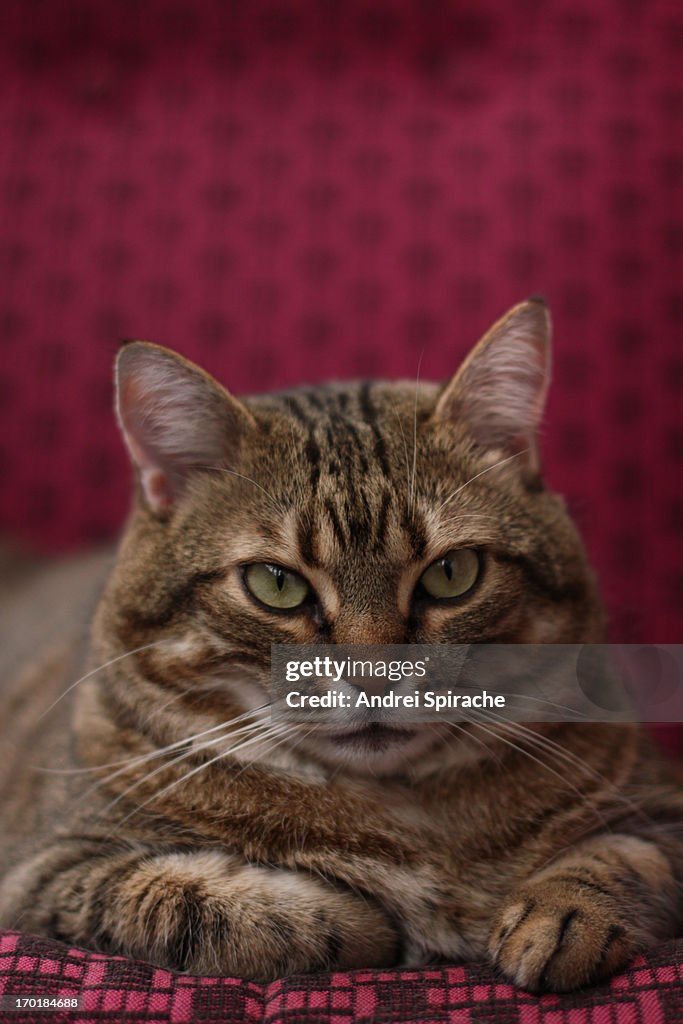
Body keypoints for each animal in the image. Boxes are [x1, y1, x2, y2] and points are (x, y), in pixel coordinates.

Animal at [1, 299, 683, 991]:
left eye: (451, 573)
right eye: (276, 584)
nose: (375, 677)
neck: (402, 820)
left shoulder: (662, 800)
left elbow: (625, 855)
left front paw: (561, 916)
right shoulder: (46, 867)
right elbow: (192, 899)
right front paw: (362, 920)